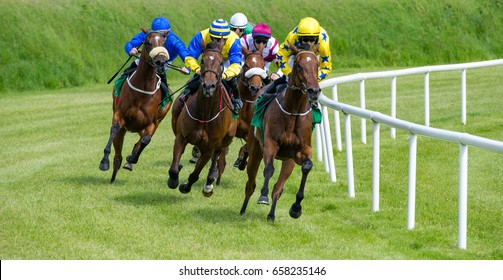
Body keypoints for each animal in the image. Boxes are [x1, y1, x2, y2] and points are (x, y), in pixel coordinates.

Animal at [99, 27, 172, 183]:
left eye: (164, 42)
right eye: (148, 42)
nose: (161, 62)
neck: (143, 89)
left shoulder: (151, 122)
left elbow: (146, 140)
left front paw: (132, 158)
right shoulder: (119, 115)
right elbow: (114, 129)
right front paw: (104, 162)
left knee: (141, 141)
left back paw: (130, 160)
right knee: (118, 155)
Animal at [167, 40, 234, 197]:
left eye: (221, 63)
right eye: (202, 61)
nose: (208, 86)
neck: (205, 114)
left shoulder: (210, 147)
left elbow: (195, 174)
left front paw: (186, 186)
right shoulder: (181, 137)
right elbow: (174, 167)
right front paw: (173, 178)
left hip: (226, 138)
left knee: (217, 155)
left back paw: (209, 182)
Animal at [238, 43, 320, 221]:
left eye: (317, 64)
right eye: (299, 65)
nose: (314, 91)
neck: (293, 111)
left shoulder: (300, 151)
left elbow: (307, 166)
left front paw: (296, 208)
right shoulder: (270, 144)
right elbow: (269, 169)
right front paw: (263, 196)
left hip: (288, 161)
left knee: (278, 188)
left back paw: (271, 215)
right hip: (255, 150)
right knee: (250, 184)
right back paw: (243, 209)